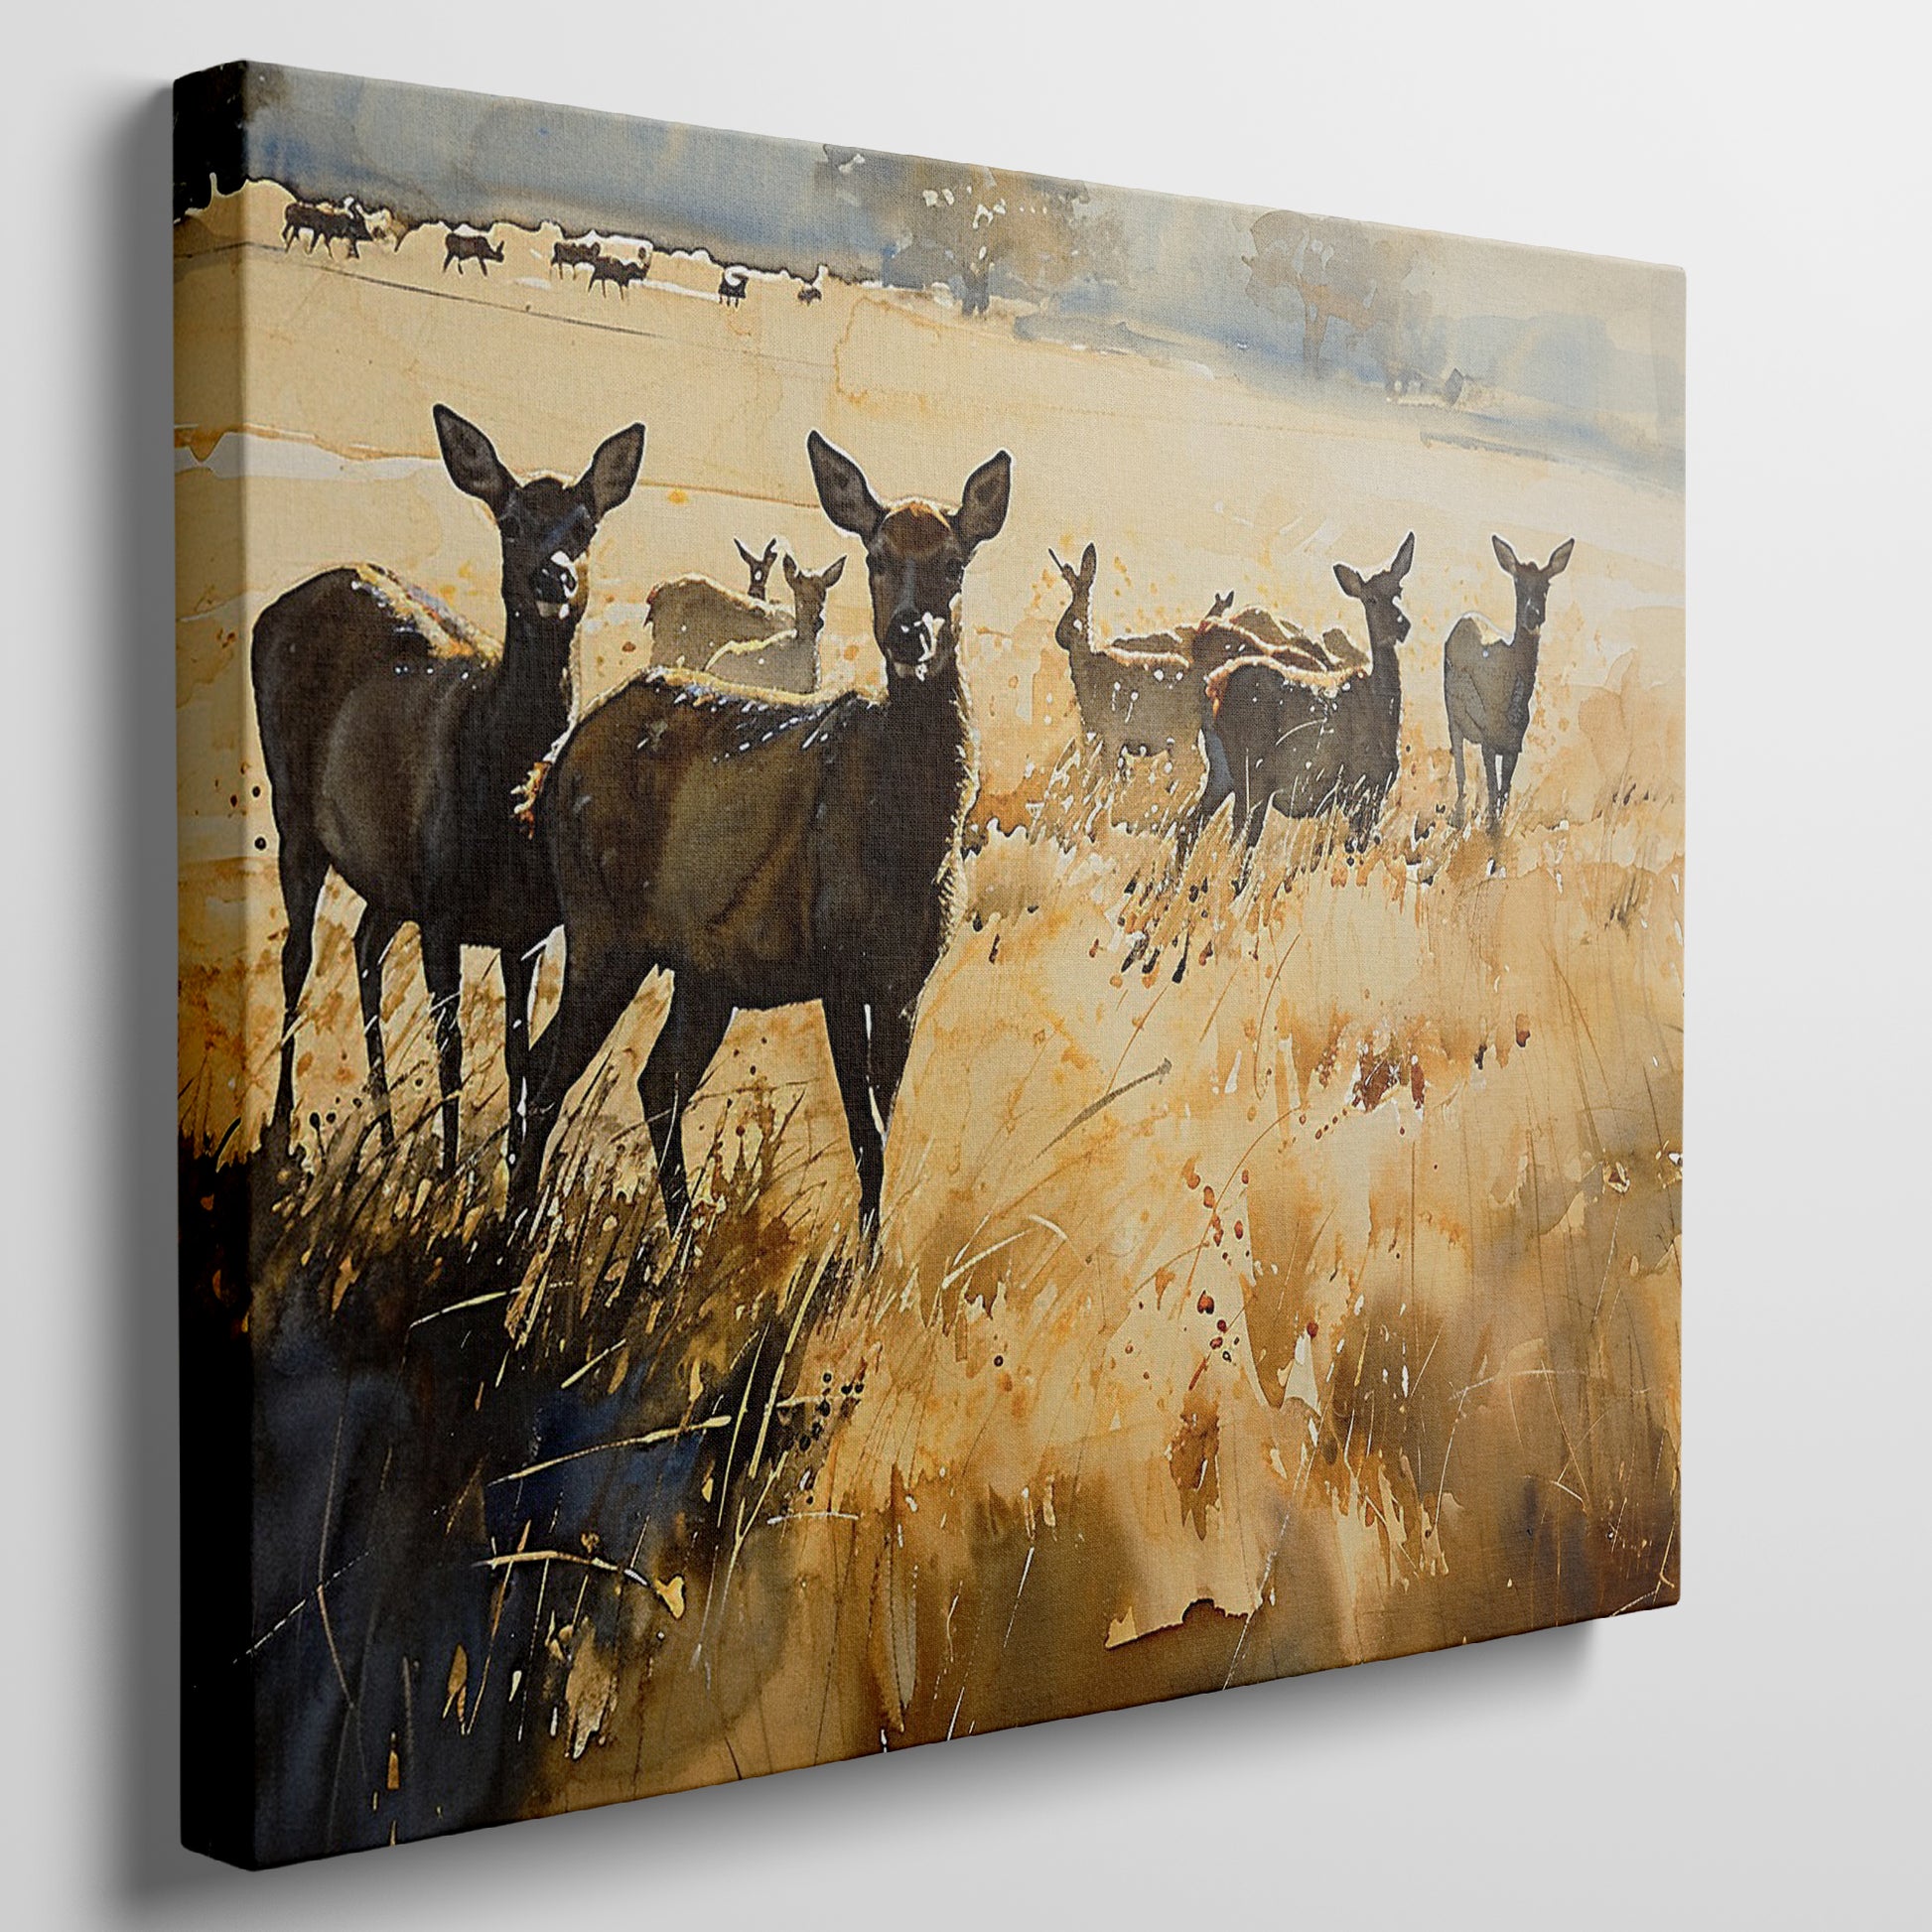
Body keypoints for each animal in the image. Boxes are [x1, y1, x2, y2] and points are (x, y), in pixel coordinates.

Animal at [250, 406, 646, 1173]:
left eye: (585, 524)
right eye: (511, 520)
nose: (553, 577)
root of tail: (277, 606)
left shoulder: (528, 930)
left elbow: (519, 1059)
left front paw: (510, 1166)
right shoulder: (441, 910)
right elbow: (453, 1050)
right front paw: (448, 1174)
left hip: (385, 871)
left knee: (365, 946)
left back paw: (384, 1136)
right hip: (294, 810)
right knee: (297, 956)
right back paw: (284, 1134)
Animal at [1177, 534, 1415, 887]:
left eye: (1398, 591)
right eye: (1371, 599)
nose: (1402, 626)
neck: (1386, 709)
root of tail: (1215, 687)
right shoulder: (1363, 787)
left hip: (1222, 773)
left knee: (1189, 828)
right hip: (1253, 775)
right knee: (1238, 844)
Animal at [1442, 535, 1574, 830]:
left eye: (1546, 585)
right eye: (1518, 583)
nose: (1533, 615)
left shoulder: (1514, 748)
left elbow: (1503, 797)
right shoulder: (1489, 742)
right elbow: (1493, 797)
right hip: (1453, 719)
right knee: (1460, 770)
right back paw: (1457, 818)